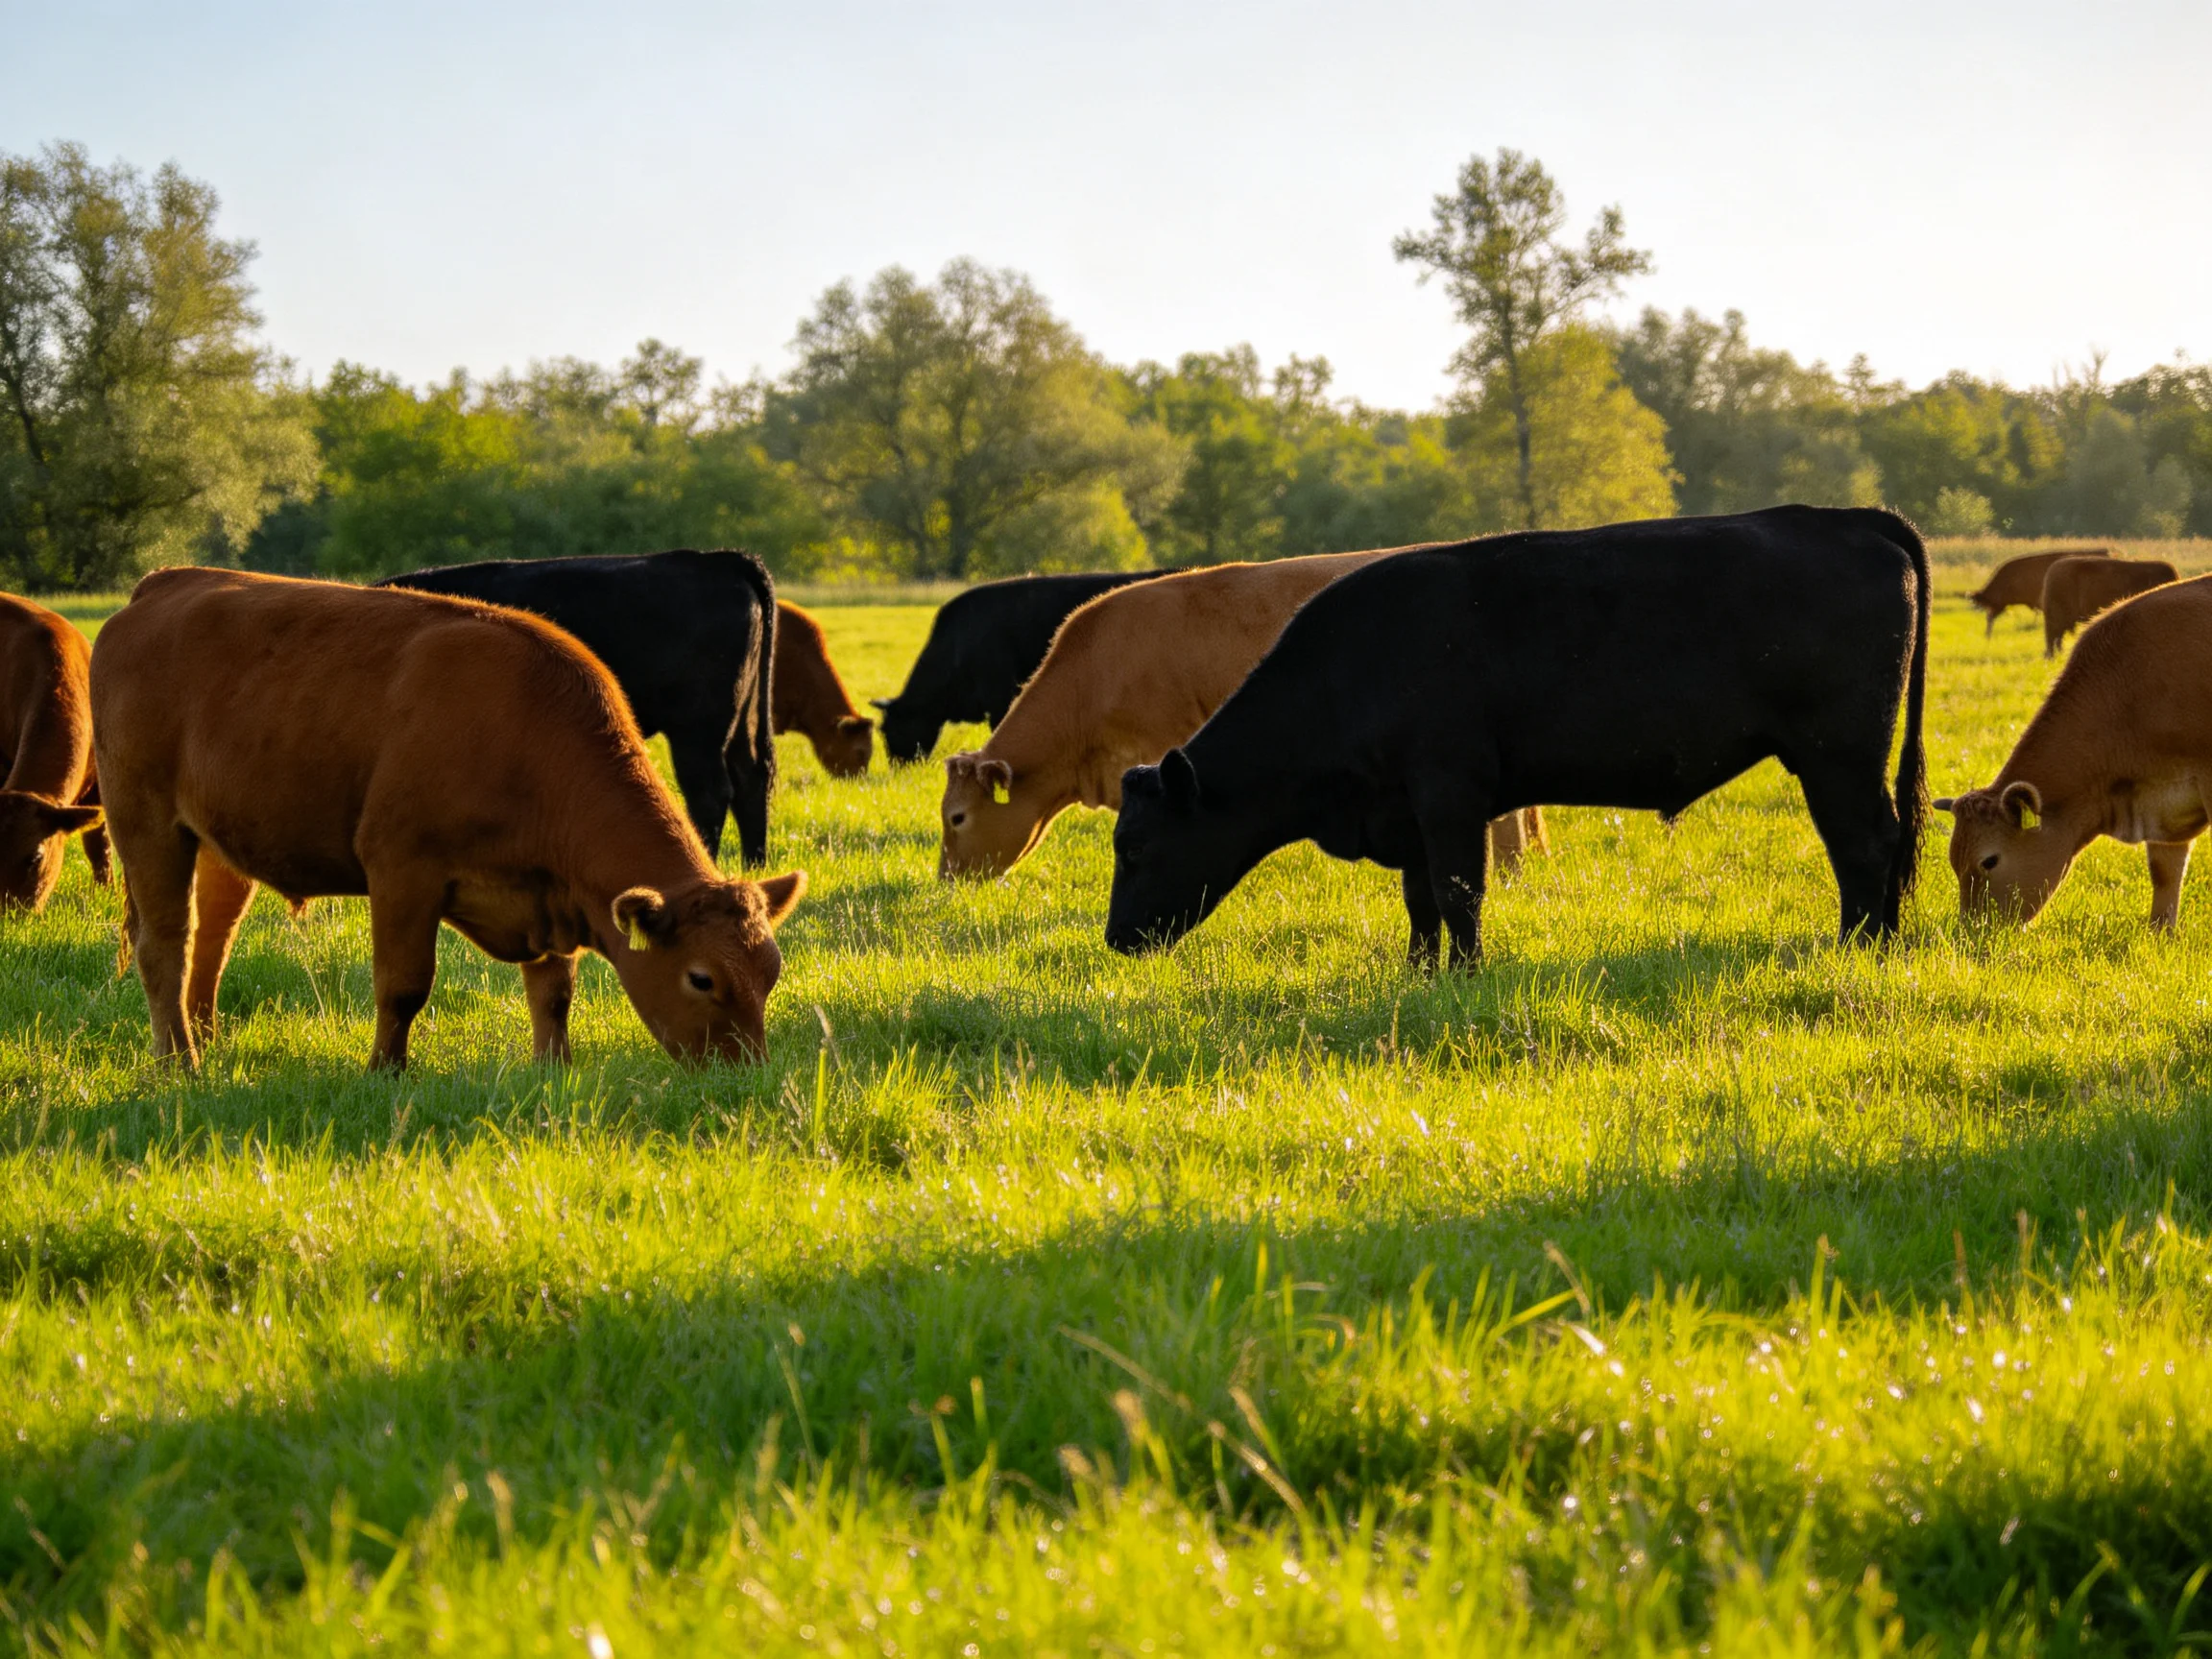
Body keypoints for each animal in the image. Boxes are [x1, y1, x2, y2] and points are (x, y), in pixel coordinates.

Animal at [379, 549, 777, 865]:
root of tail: (716, 560)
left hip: (698, 729)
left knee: (710, 792)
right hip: (741, 720)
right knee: (751, 777)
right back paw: (753, 864)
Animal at [1105, 507, 1929, 970]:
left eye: (1136, 847)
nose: (1115, 939)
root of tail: (1845, 516)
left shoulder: (1449, 793)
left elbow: (1459, 891)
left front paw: (1466, 976)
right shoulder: (1409, 810)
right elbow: (1421, 903)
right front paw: (1419, 976)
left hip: (1837, 755)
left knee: (1863, 844)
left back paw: (1860, 949)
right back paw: (1880, 943)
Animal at [1936, 574, 2212, 928]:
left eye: (1990, 861)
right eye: (1955, 861)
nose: (1974, 928)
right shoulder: (2166, 813)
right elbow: (2165, 875)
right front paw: (2160, 932)